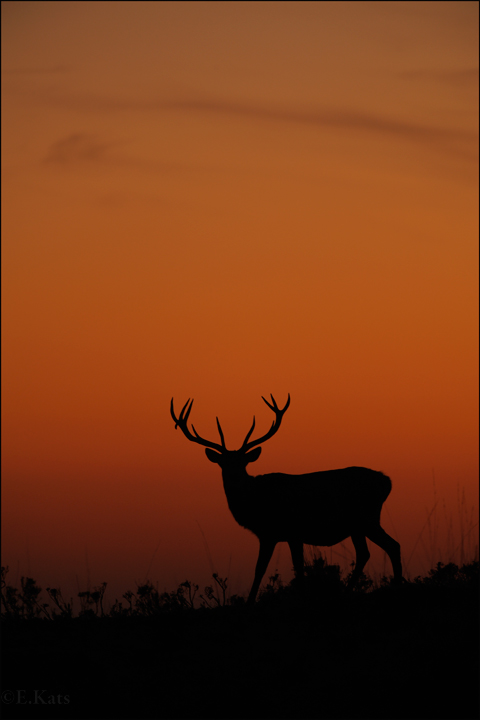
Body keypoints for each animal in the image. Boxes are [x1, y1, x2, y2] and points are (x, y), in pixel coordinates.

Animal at [170, 394, 402, 603]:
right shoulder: (275, 534)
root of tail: (387, 481)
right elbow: (269, 568)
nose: (234, 478)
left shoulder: (285, 531)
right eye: (223, 463)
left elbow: (280, 568)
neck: (255, 501)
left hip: (366, 518)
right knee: (367, 553)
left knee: (391, 546)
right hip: (359, 524)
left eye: (243, 462)